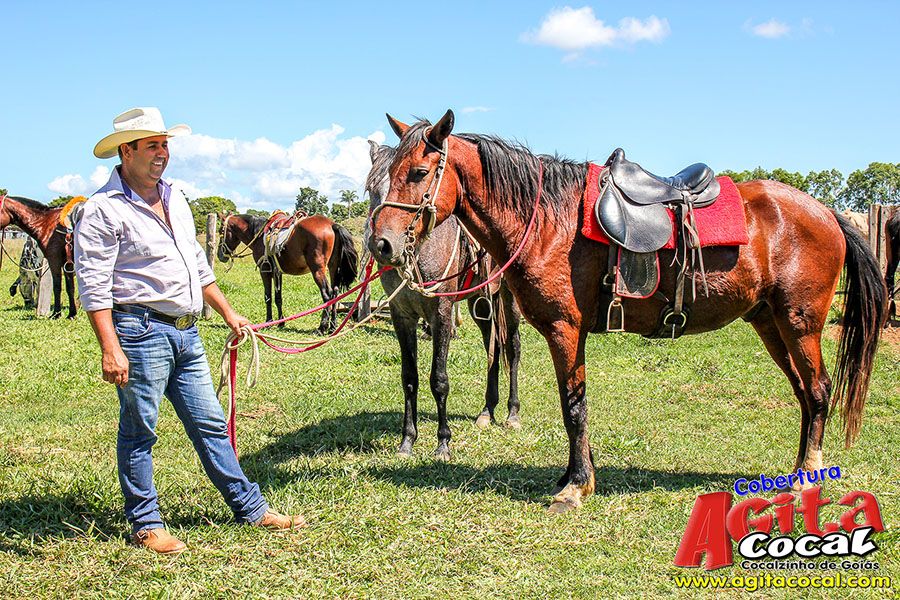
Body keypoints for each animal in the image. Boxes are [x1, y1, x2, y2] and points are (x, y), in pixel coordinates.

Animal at [217, 212, 359, 334]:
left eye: (221, 231)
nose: (220, 255)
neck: (257, 234)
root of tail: (332, 225)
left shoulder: (265, 271)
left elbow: (268, 297)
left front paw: (269, 321)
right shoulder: (277, 273)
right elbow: (278, 298)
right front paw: (280, 322)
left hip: (318, 269)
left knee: (327, 293)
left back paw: (322, 327)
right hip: (333, 267)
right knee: (335, 292)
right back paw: (333, 326)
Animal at [363, 141, 522, 460]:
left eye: (416, 178)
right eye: (372, 189)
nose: (382, 245)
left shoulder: (442, 316)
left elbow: (439, 379)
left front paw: (443, 443)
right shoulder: (402, 316)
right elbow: (409, 377)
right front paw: (407, 441)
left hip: (508, 300)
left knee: (511, 348)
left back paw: (512, 413)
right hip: (480, 303)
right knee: (493, 348)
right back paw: (487, 410)